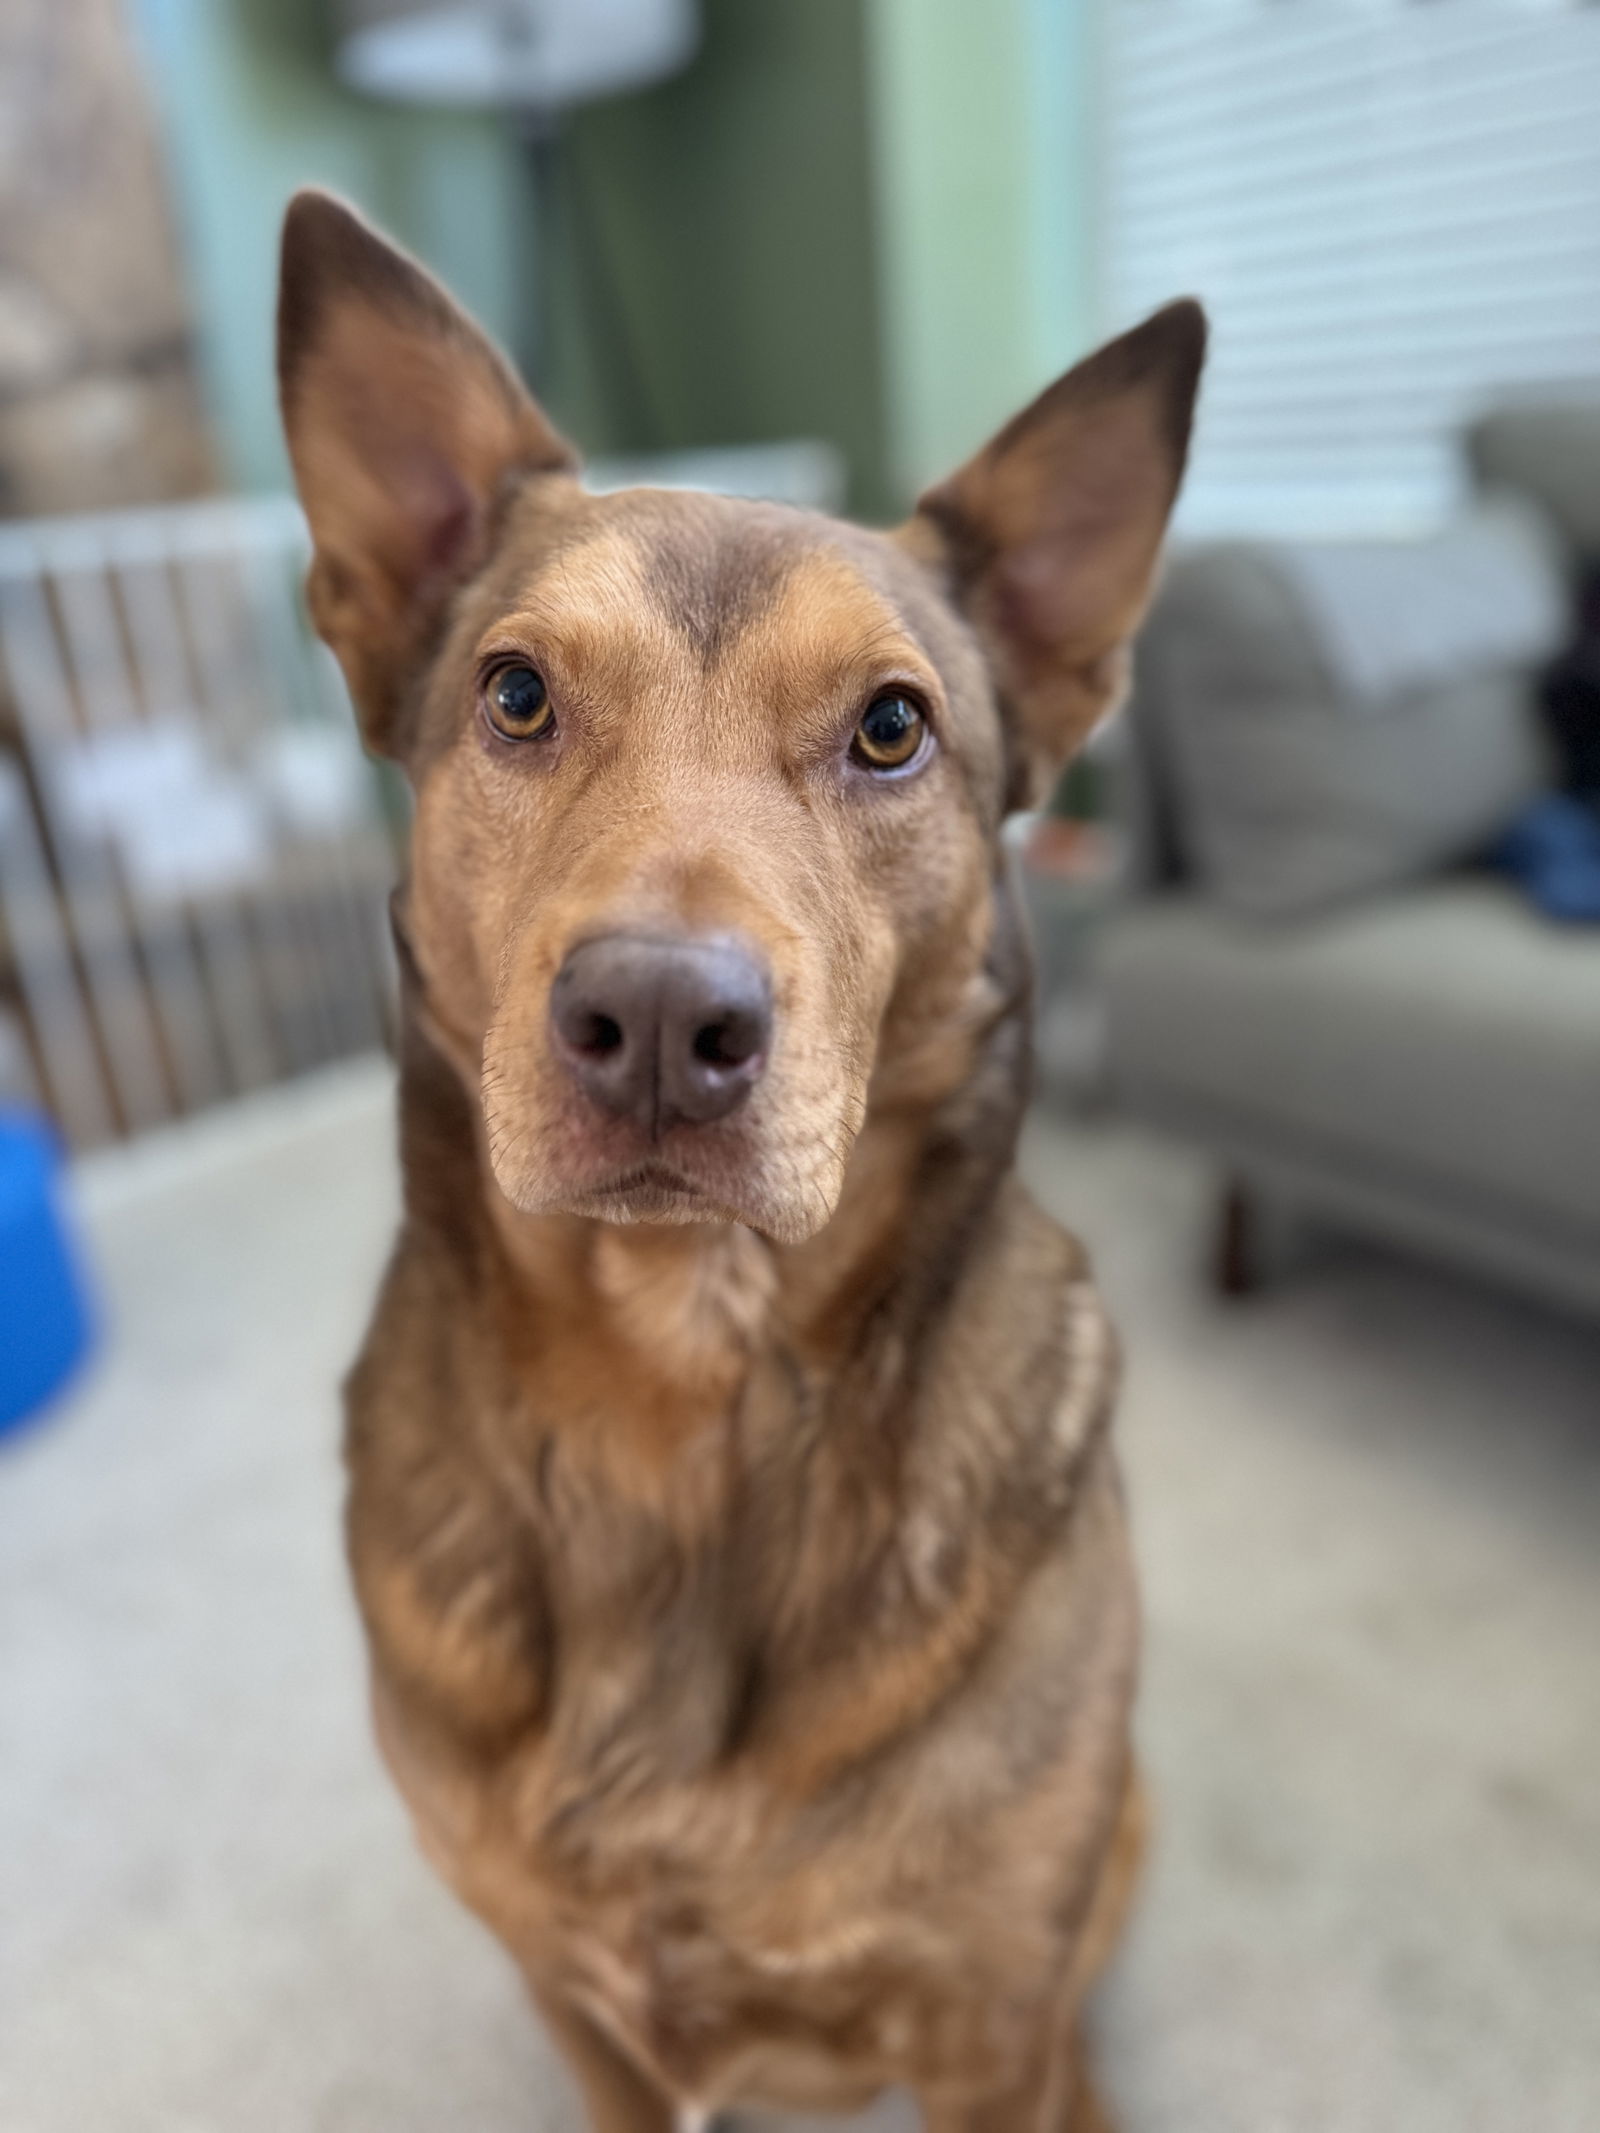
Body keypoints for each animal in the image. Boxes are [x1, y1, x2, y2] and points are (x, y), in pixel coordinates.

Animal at [279, 191, 1203, 2124]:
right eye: (516, 693)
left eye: (891, 727)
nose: (650, 1020)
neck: (681, 1394)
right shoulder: (577, 2000)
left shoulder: (985, 2027)